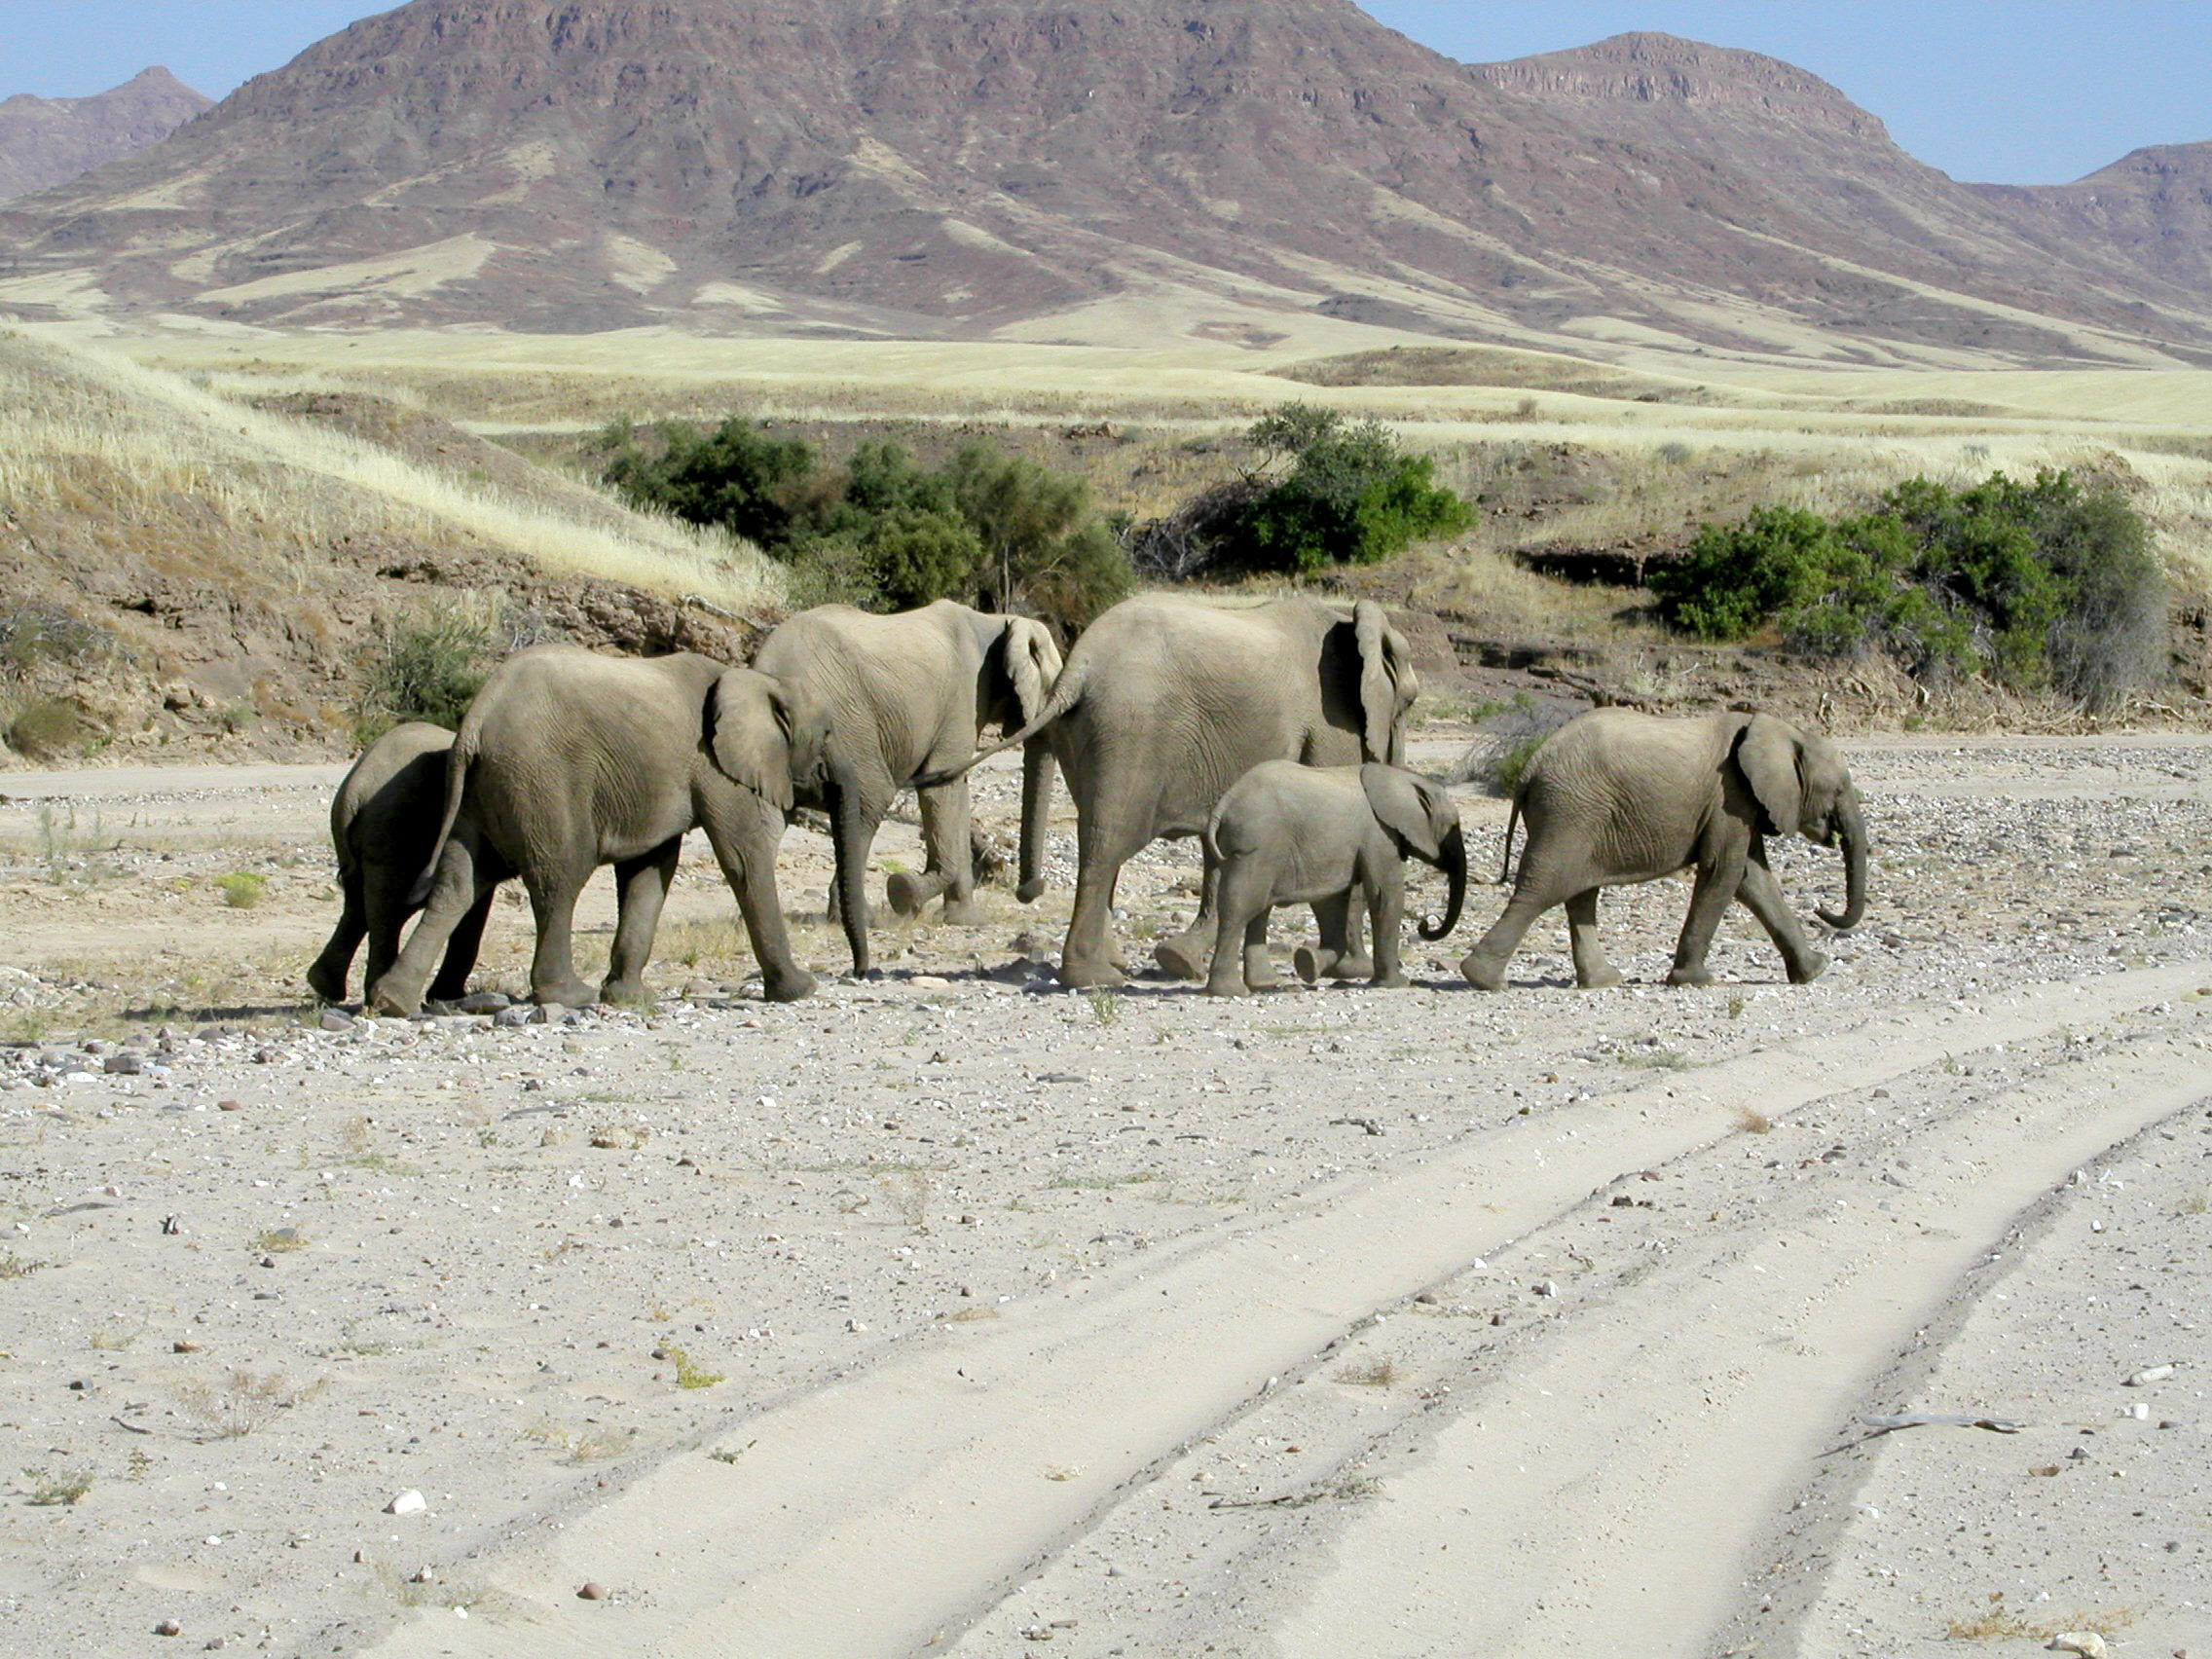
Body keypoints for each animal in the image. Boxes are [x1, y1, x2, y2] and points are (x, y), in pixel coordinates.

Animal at [368, 644, 869, 1014]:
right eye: (828, 735)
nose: (859, 974)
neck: (756, 680)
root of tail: (475, 722)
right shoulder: (713, 764)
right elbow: (743, 856)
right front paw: (800, 990)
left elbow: (650, 870)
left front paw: (630, 998)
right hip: (541, 777)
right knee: (560, 876)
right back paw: (569, 996)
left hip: (481, 789)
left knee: (459, 881)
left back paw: (393, 1003)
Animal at [750, 600, 1061, 928]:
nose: (1029, 890)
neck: (998, 620)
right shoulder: (965, 697)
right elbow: (942, 786)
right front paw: (905, 891)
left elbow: (956, 791)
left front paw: (965, 920)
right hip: (843, 724)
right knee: (869, 798)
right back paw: (864, 919)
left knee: (766, 819)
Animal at [929, 594, 1421, 987]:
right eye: (1410, 702)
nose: (1028, 890)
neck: (1349, 622)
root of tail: (1080, 666)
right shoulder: (1331, 721)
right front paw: (1349, 969)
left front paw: (1181, 960)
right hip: (1131, 730)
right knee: (1107, 847)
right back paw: (1094, 977)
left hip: (1085, 733)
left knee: (1102, 839)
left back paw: (1117, 965)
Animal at [1201, 761, 1467, 996]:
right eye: (1453, 826)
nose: (1425, 925)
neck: (1403, 778)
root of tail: (1225, 803)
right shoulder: (1378, 835)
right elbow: (1384, 895)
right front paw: (1397, 984)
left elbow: (1333, 902)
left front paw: (1309, 962)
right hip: (1259, 843)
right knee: (1241, 906)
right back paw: (1231, 991)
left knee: (1258, 906)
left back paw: (1263, 983)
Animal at [1460, 708, 1867, 992]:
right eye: (1839, 789)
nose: (1820, 908)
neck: (1780, 730)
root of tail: (1530, 767)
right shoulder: (1729, 797)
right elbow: (1724, 871)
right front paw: (1695, 981)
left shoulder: (1743, 803)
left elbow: (1753, 879)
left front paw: (1815, 970)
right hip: (1571, 811)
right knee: (1545, 888)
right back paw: (1483, 979)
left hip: (1578, 814)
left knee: (1579, 892)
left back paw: (1603, 981)